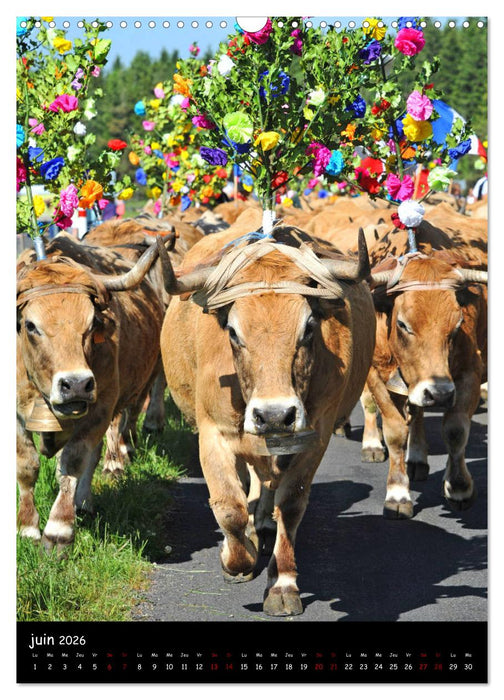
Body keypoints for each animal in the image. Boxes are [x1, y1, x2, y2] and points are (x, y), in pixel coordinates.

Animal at [16, 236, 165, 551]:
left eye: (91, 324)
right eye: (31, 325)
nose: (75, 384)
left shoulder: (100, 409)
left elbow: (74, 460)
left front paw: (59, 529)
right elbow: (26, 465)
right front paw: (27, 528)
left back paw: (83, 501)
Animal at [157, 212, 376, 616]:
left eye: (309, 327)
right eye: (232, 330)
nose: (275, 414)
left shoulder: (314, 437)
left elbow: (290, 505)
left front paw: (282, 584)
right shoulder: (213, 434)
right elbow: (229, 507)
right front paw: (236, 559)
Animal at [363, 250, 487, 518]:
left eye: (458, 323)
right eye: (402, 324)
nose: (439, 394)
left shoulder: (468, 374)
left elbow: (455, 431)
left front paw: (458, 487)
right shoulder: (375, 376)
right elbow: (395, 432)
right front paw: (398, 493)